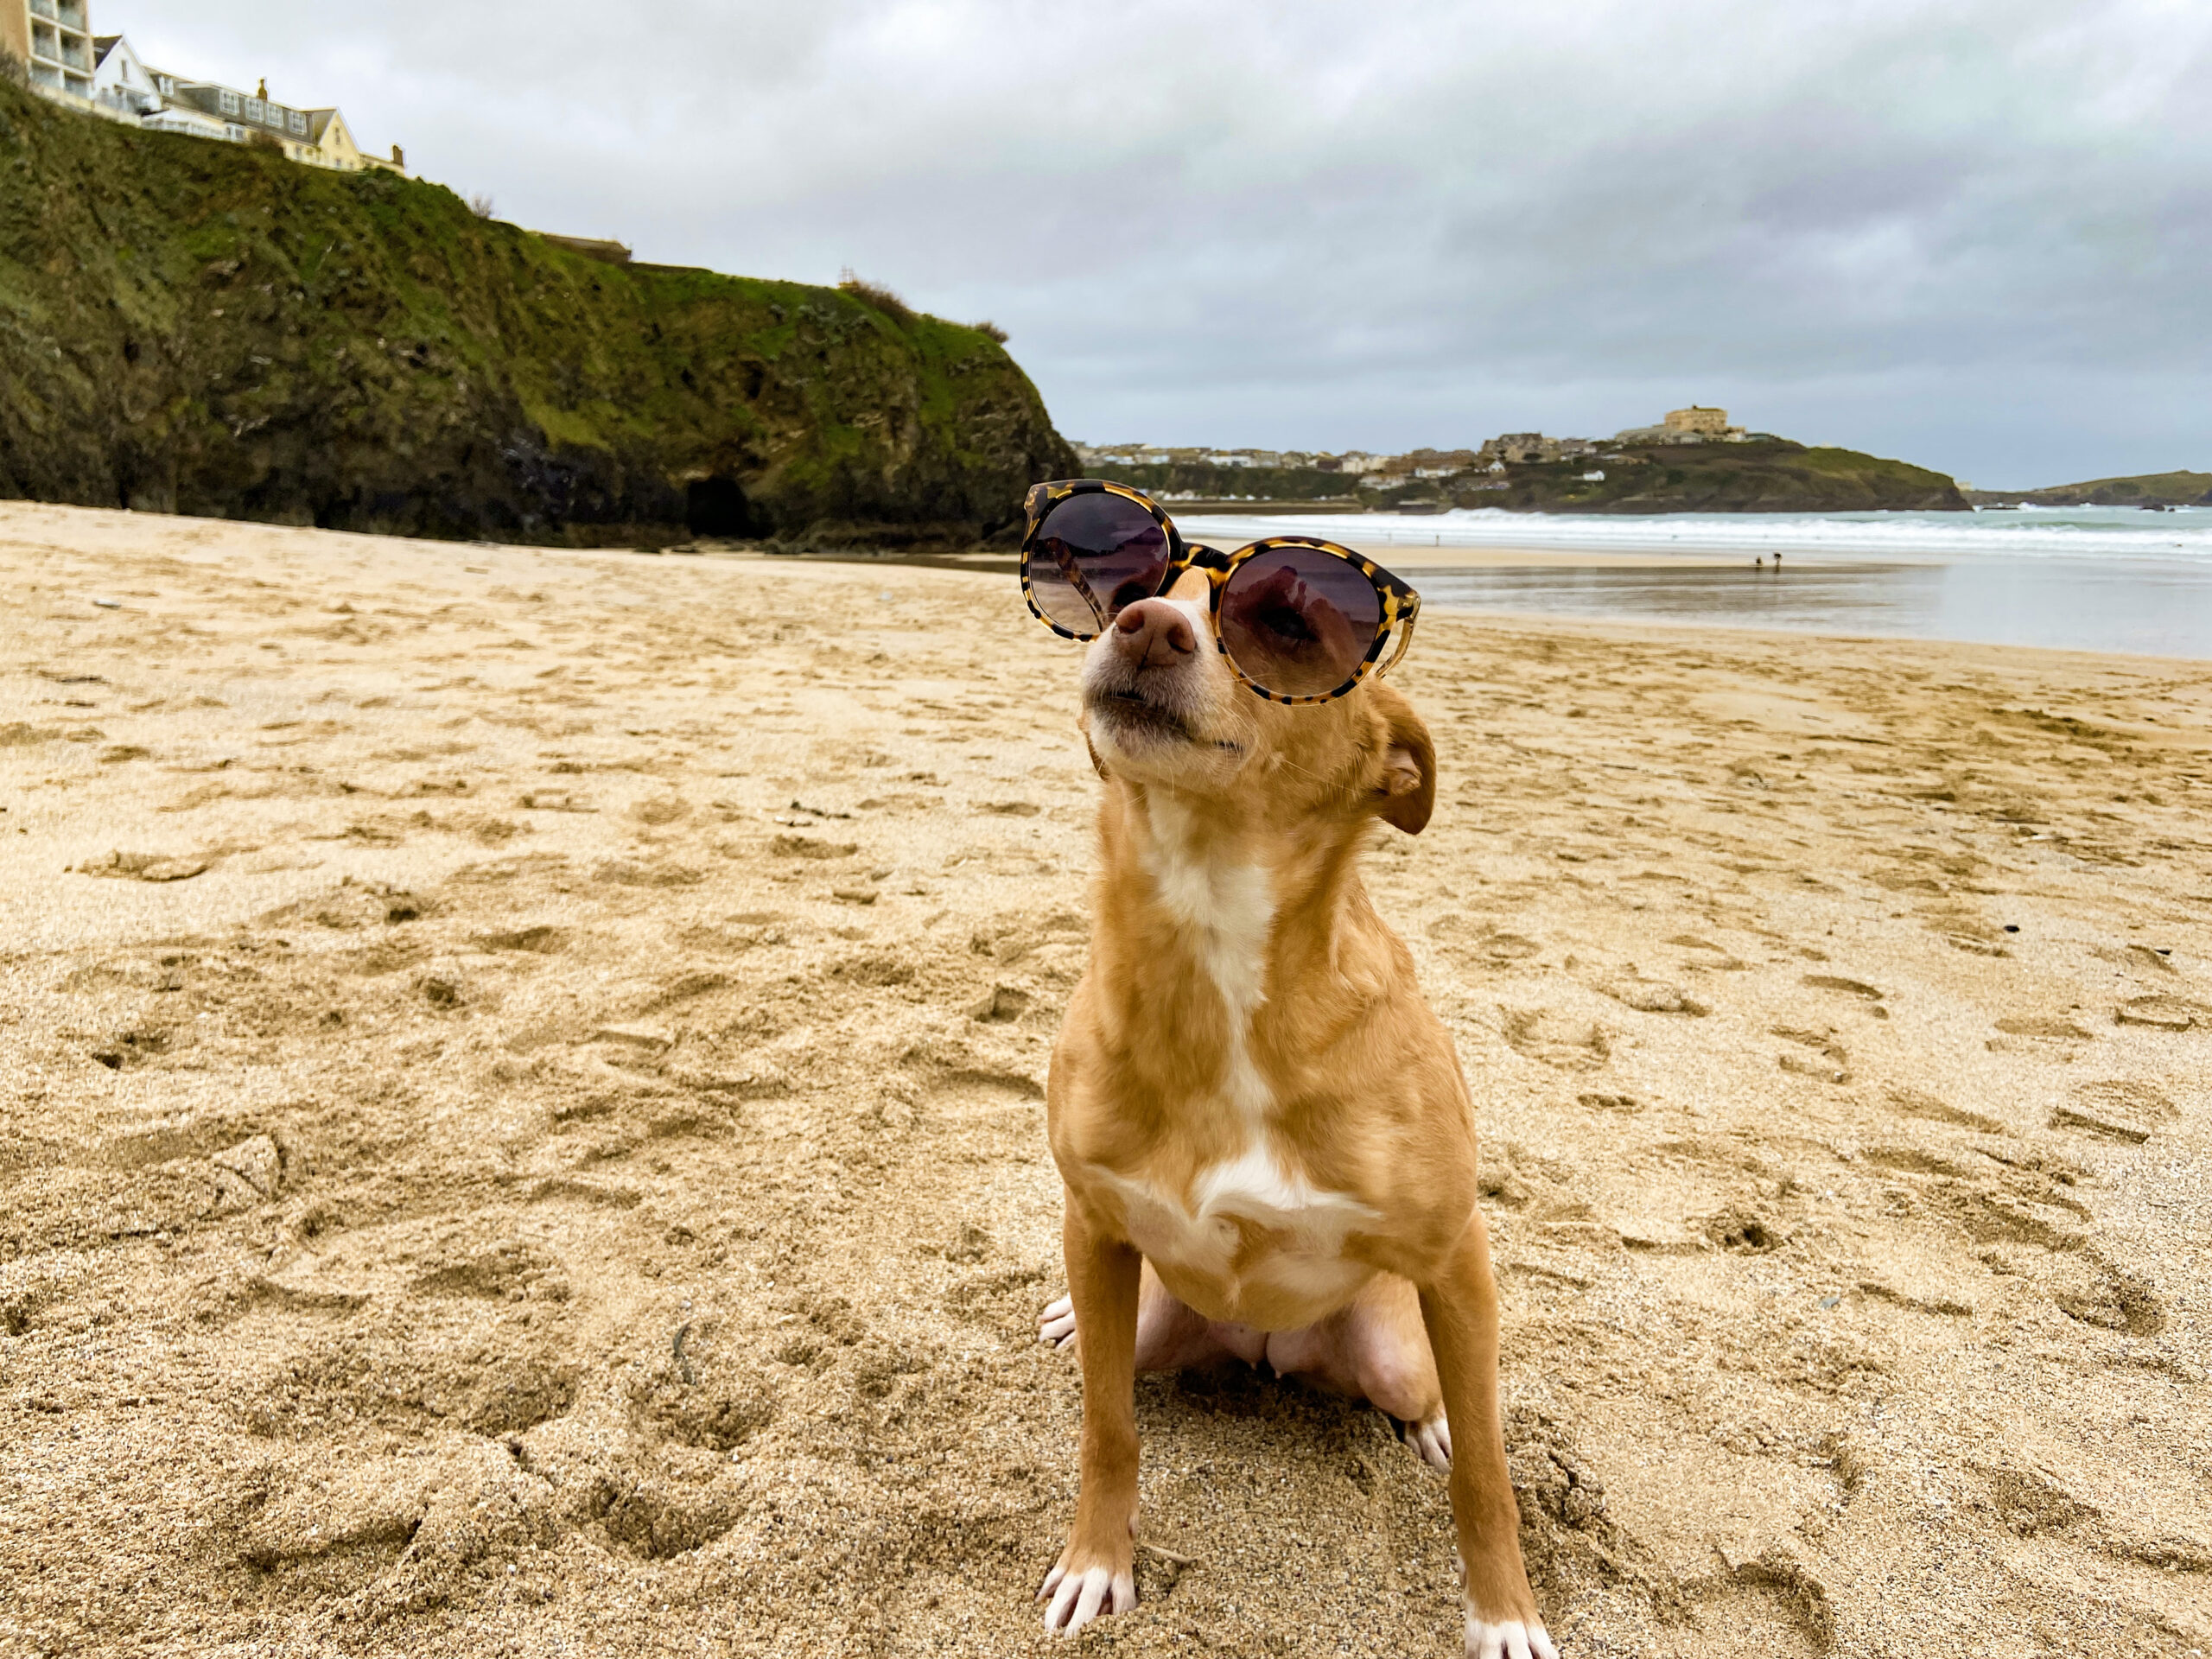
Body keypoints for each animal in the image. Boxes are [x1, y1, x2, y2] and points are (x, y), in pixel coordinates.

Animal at [1035, 570, 1557, 1659]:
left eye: (1286, 624)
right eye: (1138, 581)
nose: (1145, 626)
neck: (1212, 941)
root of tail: (1268, 1348)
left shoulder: (1456, 1250)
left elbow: (1488, 1476)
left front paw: (1502, 1616)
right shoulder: (1094, 1225)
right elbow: (1107, 1430)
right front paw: (1097, 1560)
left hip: (1397, 1344)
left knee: (1434, 1393)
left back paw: (1432, 1422)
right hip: (1147, 1320)